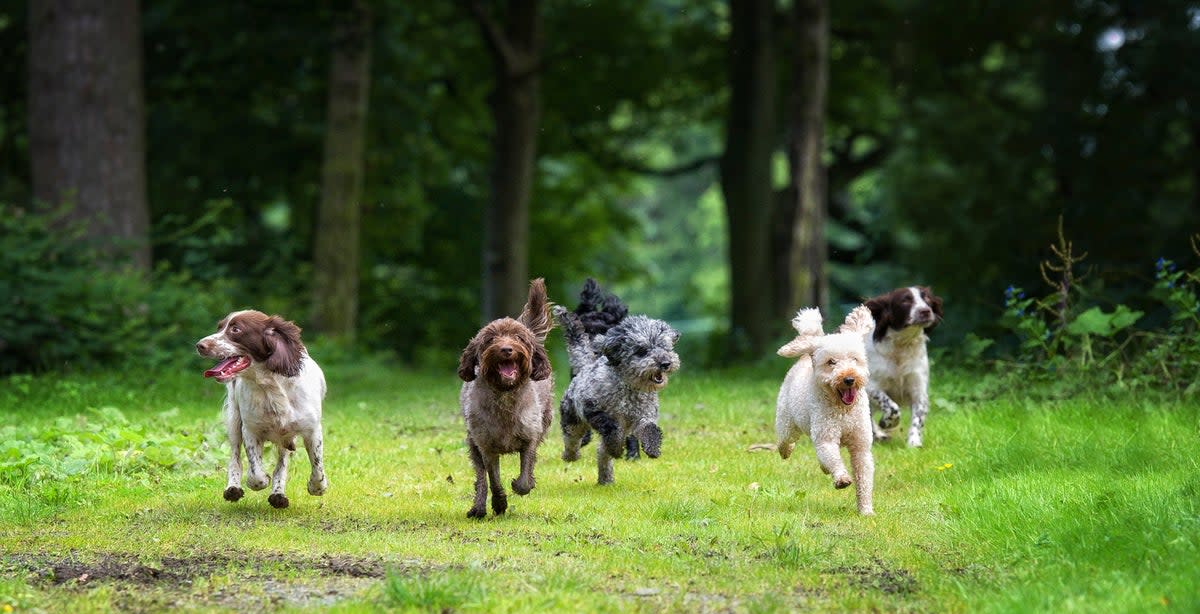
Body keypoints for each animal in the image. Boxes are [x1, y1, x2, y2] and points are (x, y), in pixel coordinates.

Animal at [196, 311, 328, 508]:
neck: (270, 386)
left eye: (236, 329)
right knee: (235, 458)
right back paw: (233, 488)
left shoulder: (312, 430)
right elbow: (255, 472)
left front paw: (316, 488)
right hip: (234, 419)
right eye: (219, 327)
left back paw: (278, 495)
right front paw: (260, 480)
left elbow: (317, 468)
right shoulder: (250, 430)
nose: (200, 345)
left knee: (281, 463)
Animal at [456, 278, 554, 518]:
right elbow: (493, 479)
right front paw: (499, 503)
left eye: (519, 338)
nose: (507, 349)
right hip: (472, 443)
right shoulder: (485, 446)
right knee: (481, 478)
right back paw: (479, 508)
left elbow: (525, 475)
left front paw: (520, 485)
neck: (505, 395)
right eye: (491, 339)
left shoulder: (530, 437)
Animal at [549, 301, 676, 484]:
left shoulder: (643, 416)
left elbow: (650, 429)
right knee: (573, 440)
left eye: (664, 347)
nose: (665, 363)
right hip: (572, 419)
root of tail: (585, 366)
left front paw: (652, 448)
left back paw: (606, 479)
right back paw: (570, 456)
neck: (629, 388)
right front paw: (616, 448)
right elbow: (611, 429)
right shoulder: (592, 408)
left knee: (601, 451)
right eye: (642, 350)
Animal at [772, 305, 878, 513]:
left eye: (854, 359)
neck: (844, 411)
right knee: (785, 440)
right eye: (831, 362)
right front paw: (842, 478)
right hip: (787, 421)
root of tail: (807, 354)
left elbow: (864, 477)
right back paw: (785, 450)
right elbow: (833, 457)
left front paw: (866, 510)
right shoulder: (826, 438)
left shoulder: (861, 445)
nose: (849, 379)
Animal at [868, 285, 940, 448]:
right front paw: (887, 422)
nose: (926, 311)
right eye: (905, 301)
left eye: (927, 299)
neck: (902, 345)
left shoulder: (918, 389)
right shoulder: (871, 386)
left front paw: (914, 442)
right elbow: (892, 406)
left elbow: (918, 416)